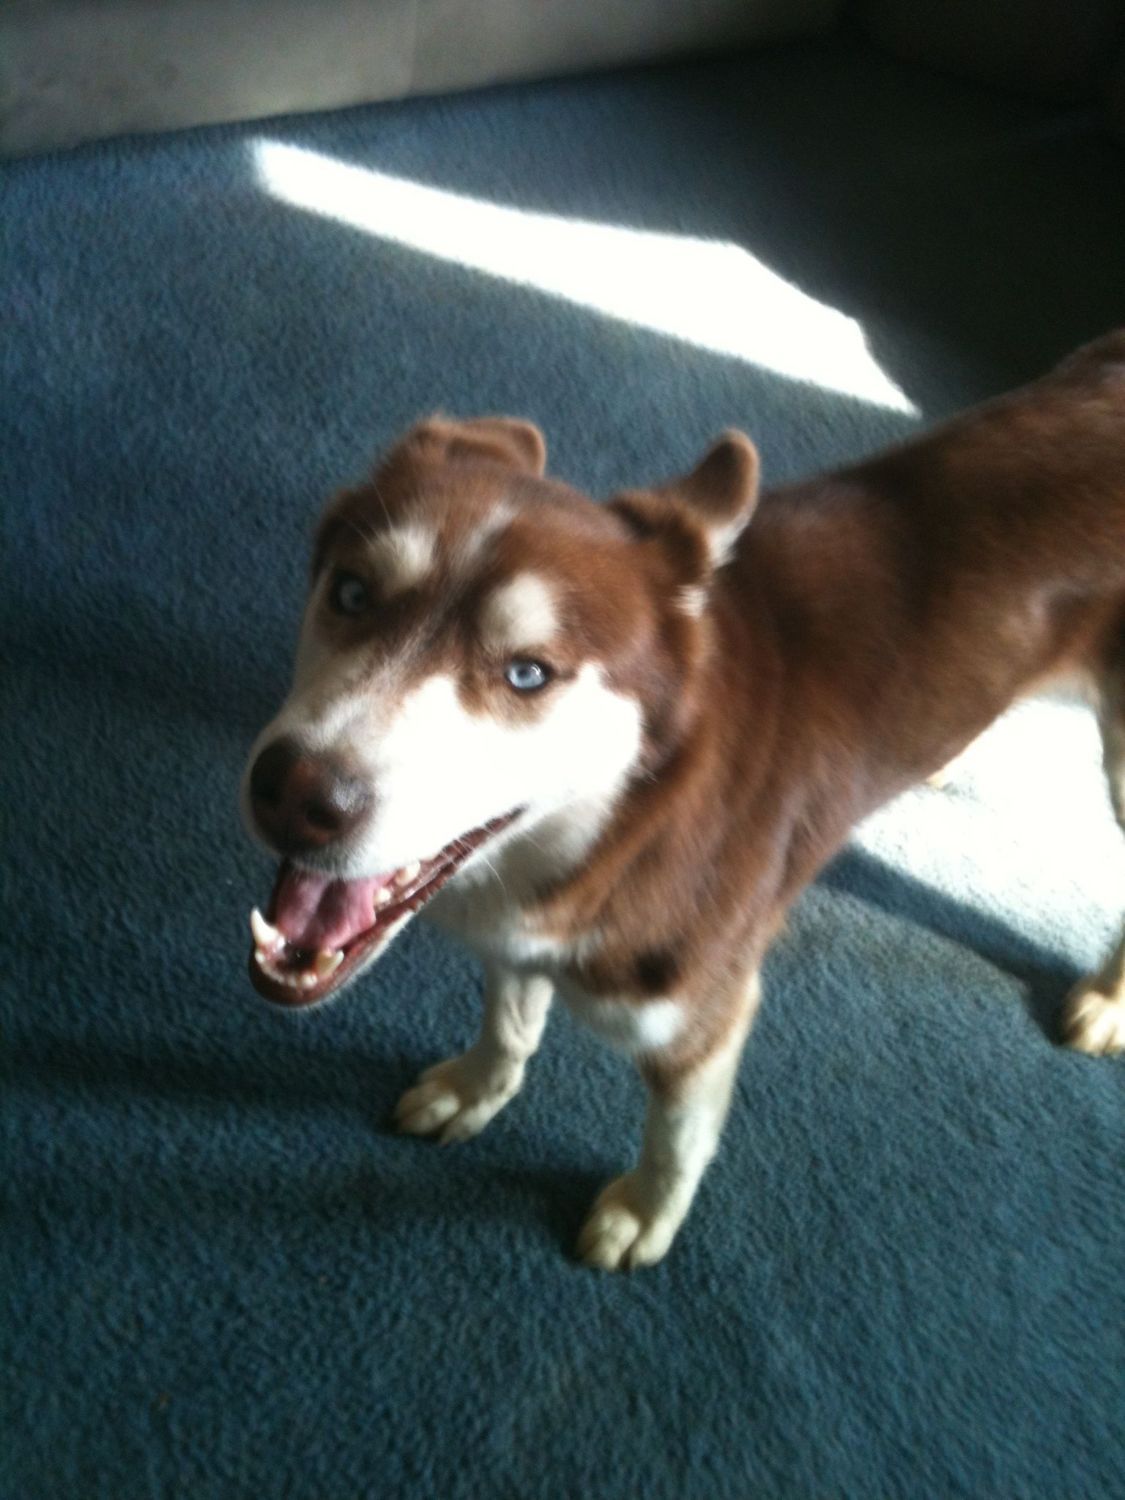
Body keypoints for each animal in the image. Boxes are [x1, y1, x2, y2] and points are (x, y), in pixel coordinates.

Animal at [242, 331, 1125, 1270]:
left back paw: (1105, 997)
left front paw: (643, 1212)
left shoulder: (701, 1015)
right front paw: (477, 1089)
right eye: (351, 593)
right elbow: (509, 1021)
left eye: (528, 674)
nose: (294, 795)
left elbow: (678, 1137)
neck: (614, 830)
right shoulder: (516, 934)